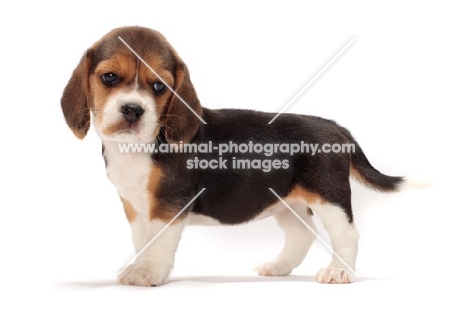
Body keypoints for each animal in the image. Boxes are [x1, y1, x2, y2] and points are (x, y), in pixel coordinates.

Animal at [63, 26, 410, 288]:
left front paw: (147, 272)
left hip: (329, 196)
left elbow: (157, 241)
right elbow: (142, 239)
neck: (137, 147)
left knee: (347, 233)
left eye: (159, 86)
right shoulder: (135, 206)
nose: (133, 110)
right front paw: (139, 266)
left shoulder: (170, 203)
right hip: (286, 201)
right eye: (109, 77)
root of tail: (337, 128)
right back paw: (278, 267)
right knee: (303, 234)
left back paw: (339, 271)